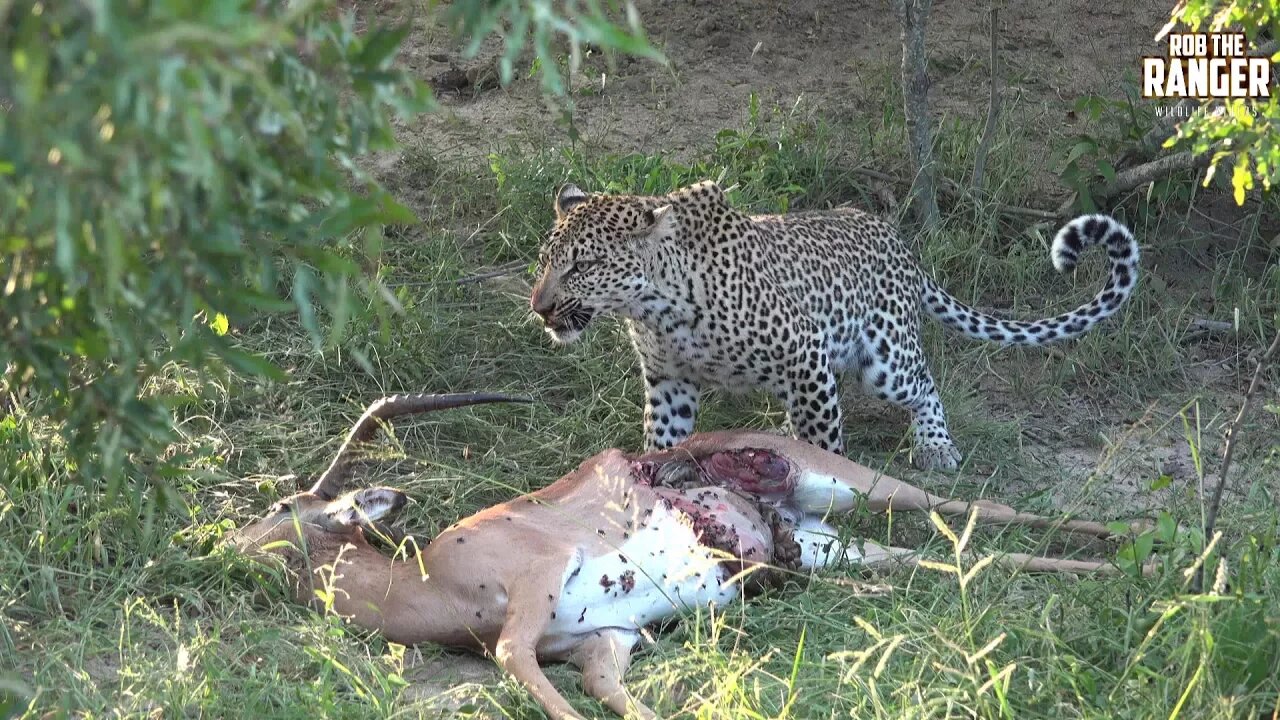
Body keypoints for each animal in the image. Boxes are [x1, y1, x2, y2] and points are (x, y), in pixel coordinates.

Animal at [529, 180, 1141, 471]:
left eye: (583, 266)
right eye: (545, 260)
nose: (540, 307)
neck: (657, 309)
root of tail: (895, 237)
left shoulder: (804, 355)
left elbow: (824, 443)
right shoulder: (669, 382)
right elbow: (663, 440)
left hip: (886, 361)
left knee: (925, 385)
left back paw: (936, 446)